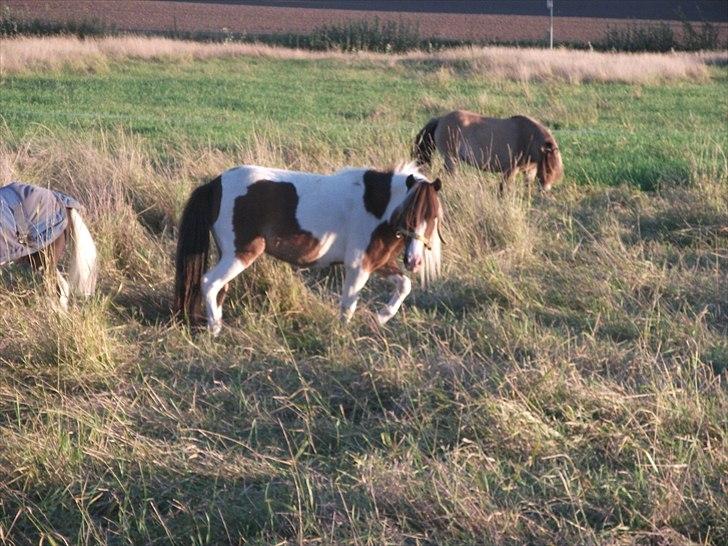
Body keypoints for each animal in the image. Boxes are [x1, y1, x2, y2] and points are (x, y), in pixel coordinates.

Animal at [175, 162, 444, 334]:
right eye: (408, 215)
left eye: (432, 217)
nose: (414, 261)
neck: (373, 207)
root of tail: (214, 185)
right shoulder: (359, 267)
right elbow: (348, 307)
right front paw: (342, 338)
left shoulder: (378, 263)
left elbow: (404, 285)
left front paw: (381, 318)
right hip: (240, 255)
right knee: (209, 282)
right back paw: (215, 330)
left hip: (228, 255)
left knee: (219, 288)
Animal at [416, 108, 564, 191]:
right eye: (548, 167)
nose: (545, 188)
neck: (528, 137)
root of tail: (440, 119)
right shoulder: (510, 170)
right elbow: (504, 189)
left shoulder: (529, 172)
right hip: (451, 160)